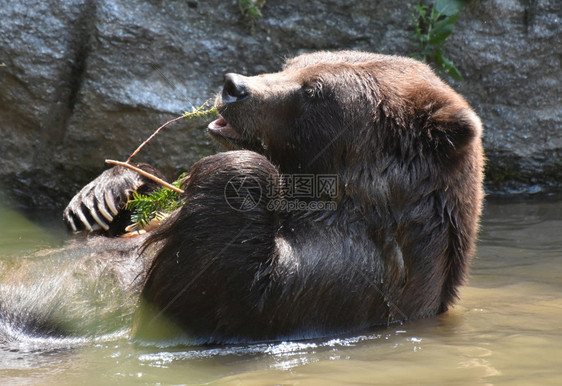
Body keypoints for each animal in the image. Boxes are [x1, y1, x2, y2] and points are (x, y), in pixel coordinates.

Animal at [61, 50, 484, 344]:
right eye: (291, 63)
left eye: (315, 91)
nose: (233, 85)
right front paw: (103, 196)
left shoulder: (348, 277)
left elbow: (216, 299)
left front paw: (243, 169)